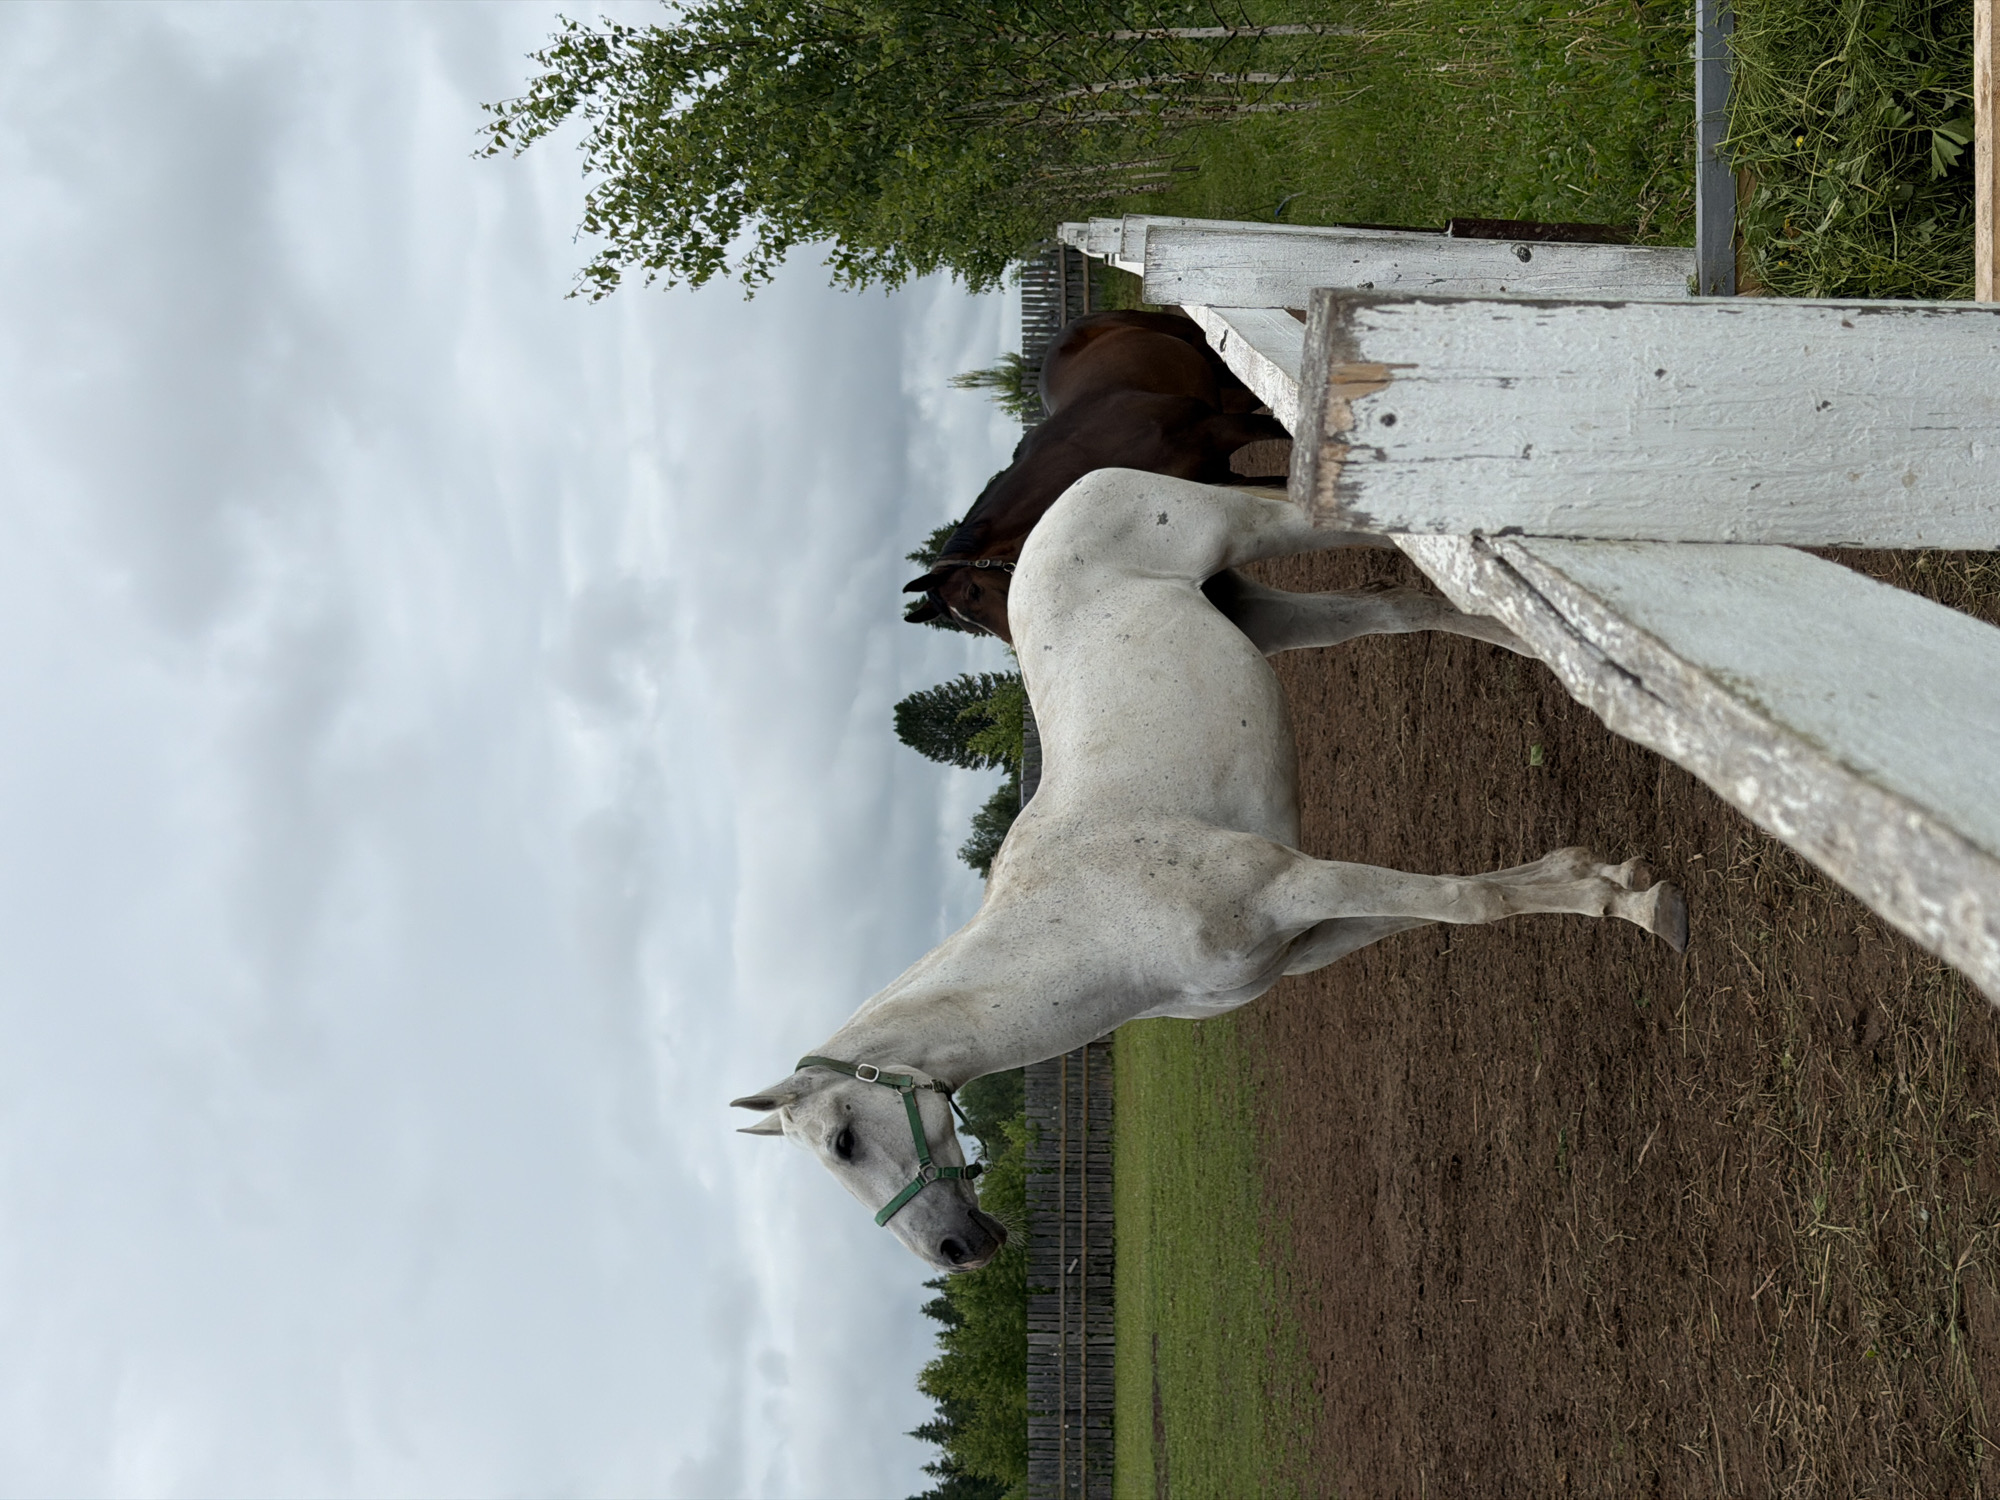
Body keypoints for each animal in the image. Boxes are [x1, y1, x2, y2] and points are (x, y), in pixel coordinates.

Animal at [735, 471, 1688, 1272]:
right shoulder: (1309, 936)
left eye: (843, 1142)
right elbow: (1459, 905)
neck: (1091, 922)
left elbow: (1472, 902)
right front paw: (1590, 872)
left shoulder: (1296, 882)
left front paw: (1641, 904)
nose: (955, 1251)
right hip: (1264, 611)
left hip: (1261, 529)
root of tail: (1067, 495)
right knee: (1398, 608)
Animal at [904, 311, 1294, 642]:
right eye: (971, 629)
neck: (1089, 452)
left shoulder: (1219, 429)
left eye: (973, 592)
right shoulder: (1222, 478)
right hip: (1228, 393)